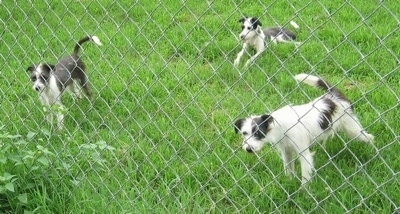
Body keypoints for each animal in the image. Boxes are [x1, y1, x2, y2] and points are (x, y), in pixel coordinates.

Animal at [234, 73, 376, 186]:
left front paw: (304, 193)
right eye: (244, 133)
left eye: (258, 133)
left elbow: (305, 178)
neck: (281, 126)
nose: (248, 149)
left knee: (369, 137)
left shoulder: (304, 154)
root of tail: (333, 95)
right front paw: (289, 181)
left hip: (353, 130)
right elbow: (288, 168)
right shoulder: (286, 151)